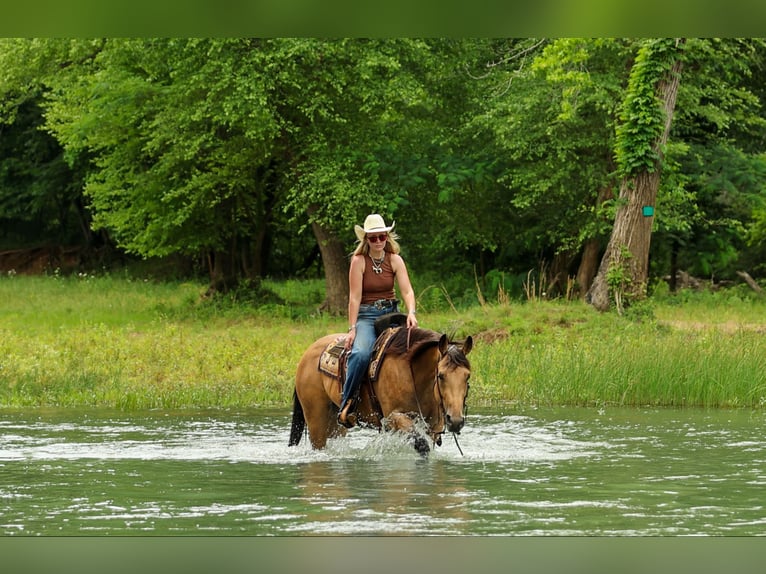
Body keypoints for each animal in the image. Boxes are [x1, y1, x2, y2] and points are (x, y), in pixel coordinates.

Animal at [289, 322, 473, 455]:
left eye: (467, 376)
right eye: (441, 375)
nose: (456, 420)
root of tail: (307, 354)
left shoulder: (433, 426)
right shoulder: (392, 418)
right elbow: (421, 445)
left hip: (335, 423)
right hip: (315, 420)